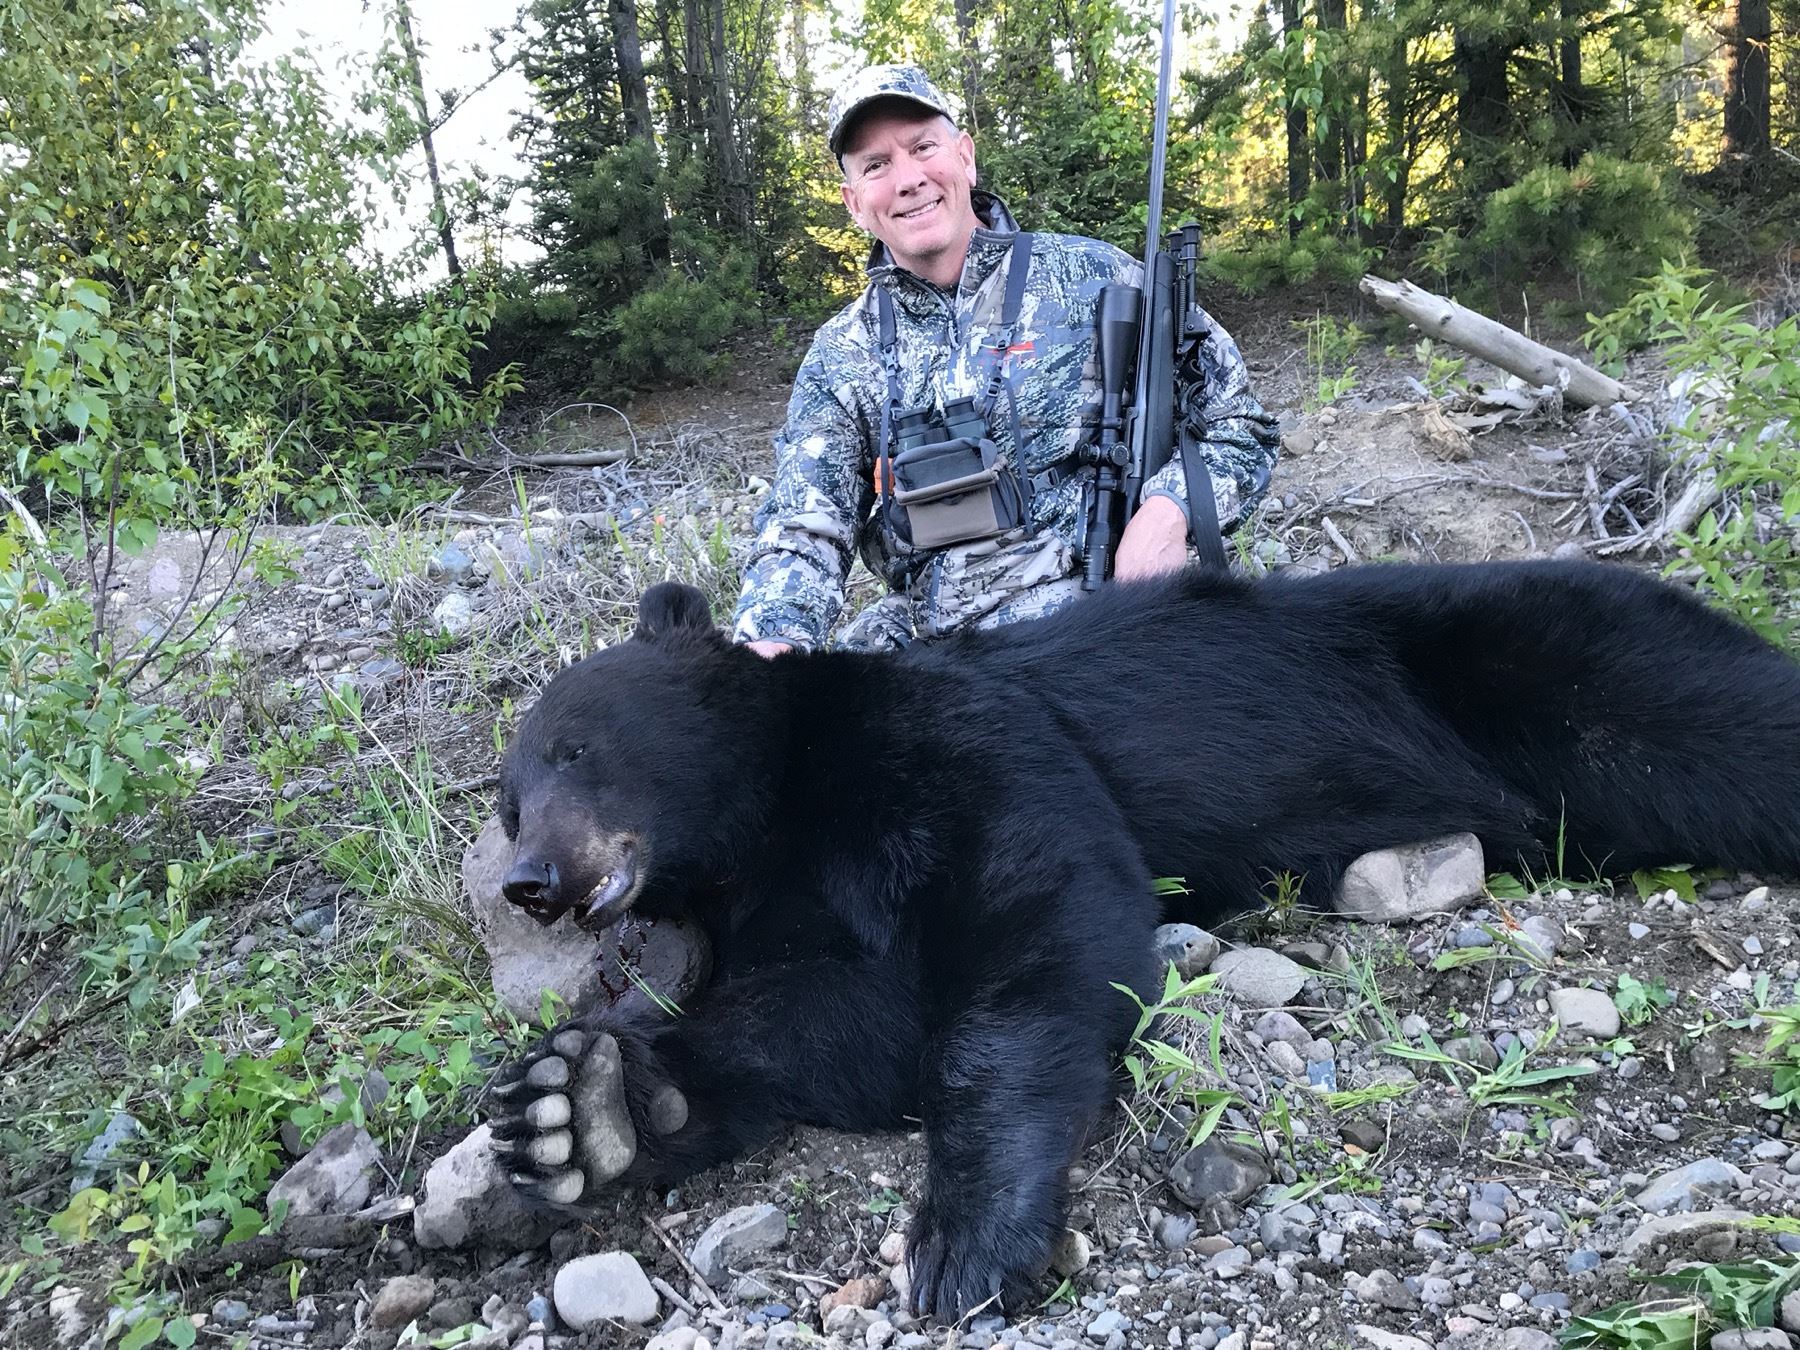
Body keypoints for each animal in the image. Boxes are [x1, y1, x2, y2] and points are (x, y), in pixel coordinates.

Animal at [489, 561, 1800, 1320]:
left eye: (576, 748)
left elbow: (1041, 916)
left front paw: (967, 1239)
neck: (777, 809)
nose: (530, 882)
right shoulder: (783, 903)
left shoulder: (959, 735)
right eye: (505, 799)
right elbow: (848, 1020)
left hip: (1545, 659)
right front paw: (583, 1107)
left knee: (1712, 722)